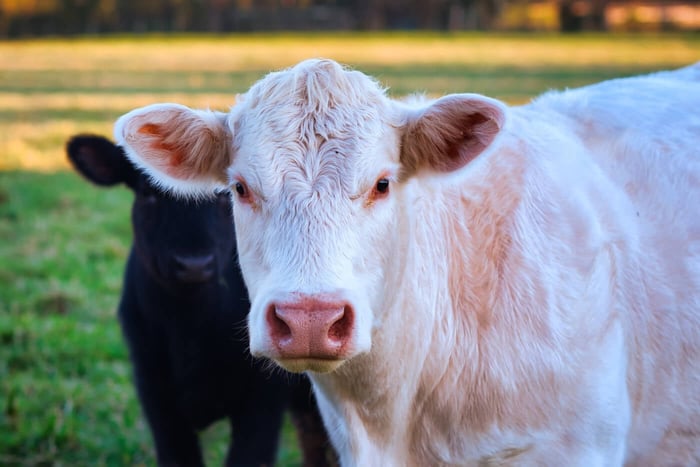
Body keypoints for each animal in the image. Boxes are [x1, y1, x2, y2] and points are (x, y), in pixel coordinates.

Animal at [66, 134, 335, 467]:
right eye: (147, 193)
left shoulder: (263, 396)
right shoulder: (154, 389)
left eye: (227, 193)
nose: (193, 263)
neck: (190, 330)